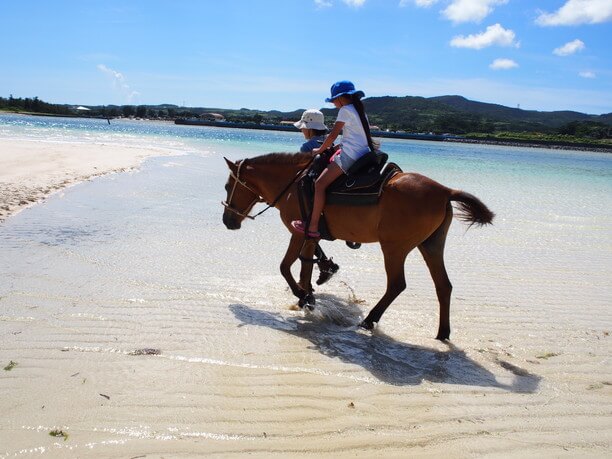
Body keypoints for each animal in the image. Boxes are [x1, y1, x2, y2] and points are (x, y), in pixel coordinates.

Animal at [222, 153, 494, 340]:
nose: (227, 221)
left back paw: (369, 320)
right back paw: (442, 333)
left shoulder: (298, 233)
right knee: (443, 286)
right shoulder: (310, 236)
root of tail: (445, 191)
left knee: (397, 284)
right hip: (431, 246)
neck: (293, 184)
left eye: (227, 186)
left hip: (394, 248)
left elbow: (286, 267)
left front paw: (302, 295)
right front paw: (307, 298)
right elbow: (305, 268)